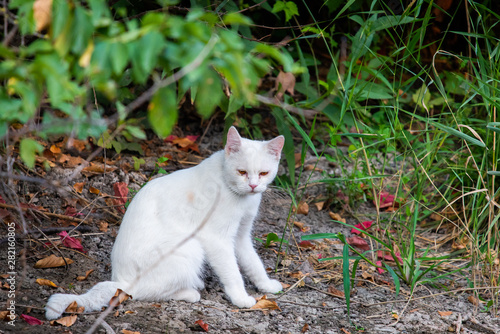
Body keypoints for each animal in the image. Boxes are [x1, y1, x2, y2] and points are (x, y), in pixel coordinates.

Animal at [46, 126, 286, 320]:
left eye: (264, 173)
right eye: (242, 172)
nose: (253, 186)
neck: (238, 194)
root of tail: (121, 280)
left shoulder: (241, 235)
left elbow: (253, 263)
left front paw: (266, 285)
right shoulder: (217, 238)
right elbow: (232, 272)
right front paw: (240, 298)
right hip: (191, 247)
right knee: (141, 293)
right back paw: (191, 291)